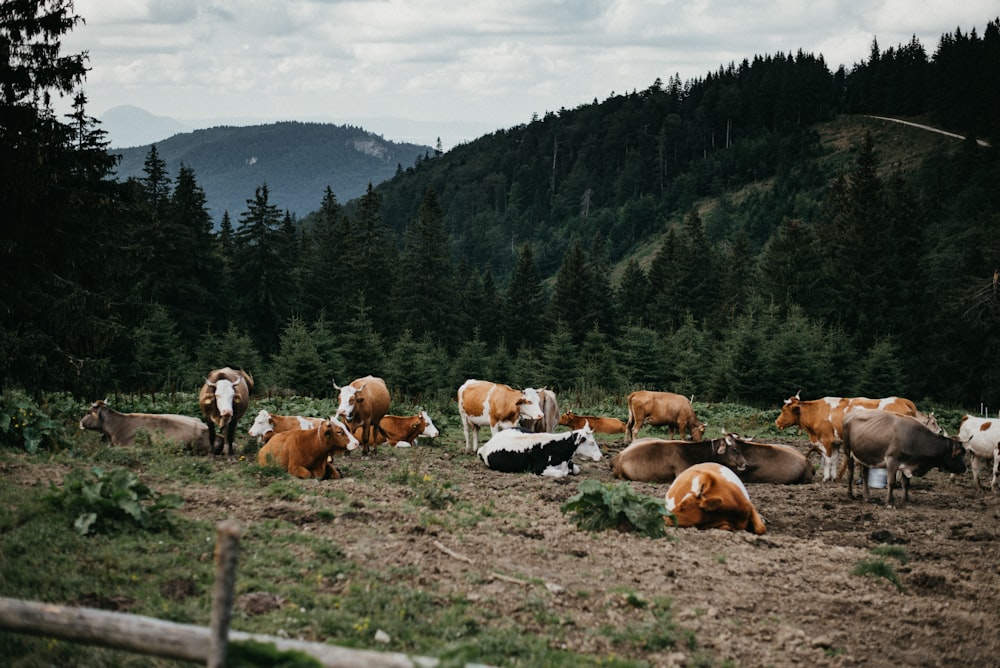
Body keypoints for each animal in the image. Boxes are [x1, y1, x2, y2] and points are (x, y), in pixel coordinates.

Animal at [772, 392, 920, 480]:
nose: (776, 422)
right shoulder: (835, 443)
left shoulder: (826, 440)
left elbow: (828, 460)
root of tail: (901, 400)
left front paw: (826, 478)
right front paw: (833, 477)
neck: (817, 412)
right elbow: (834, 460)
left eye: (784, 410)